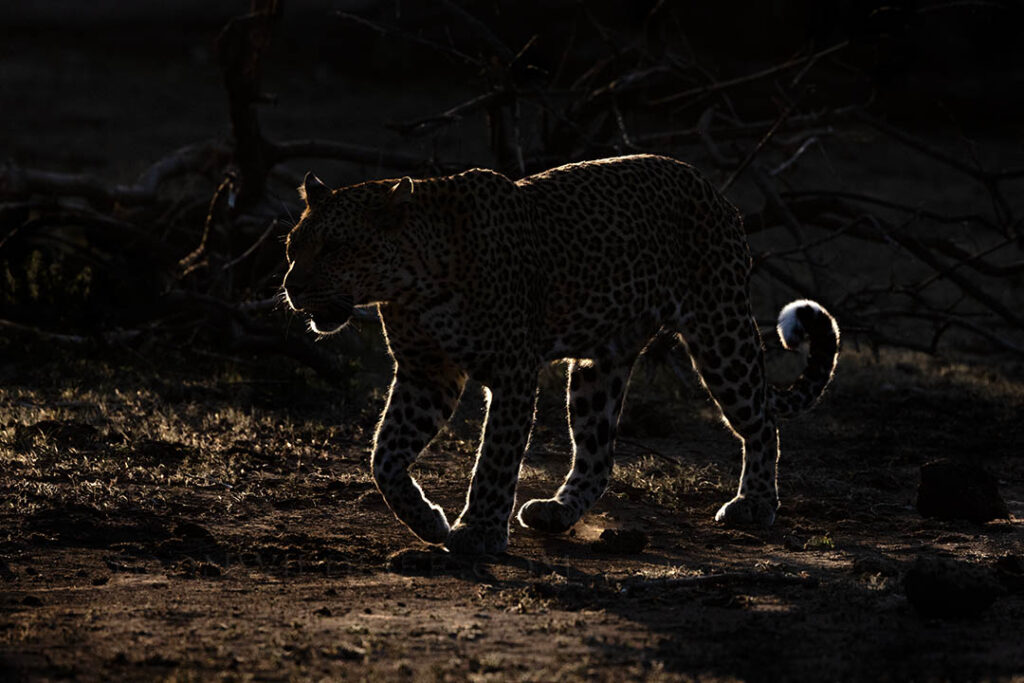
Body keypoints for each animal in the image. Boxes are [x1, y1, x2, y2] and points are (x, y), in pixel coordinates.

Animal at [282, 154, 840, 555]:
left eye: (333, 248)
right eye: (292, 247)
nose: (290, 287)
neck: (410, 285)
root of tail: (713, 190)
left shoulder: (511, 371)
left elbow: (495, 458)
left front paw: (479, 533)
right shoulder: (426, 373)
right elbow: (385, 457)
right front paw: (427, 521)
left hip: (719, 331)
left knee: (762, 420)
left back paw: (755, 504)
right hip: (601, 363)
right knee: (599, 454)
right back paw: (556, 511)